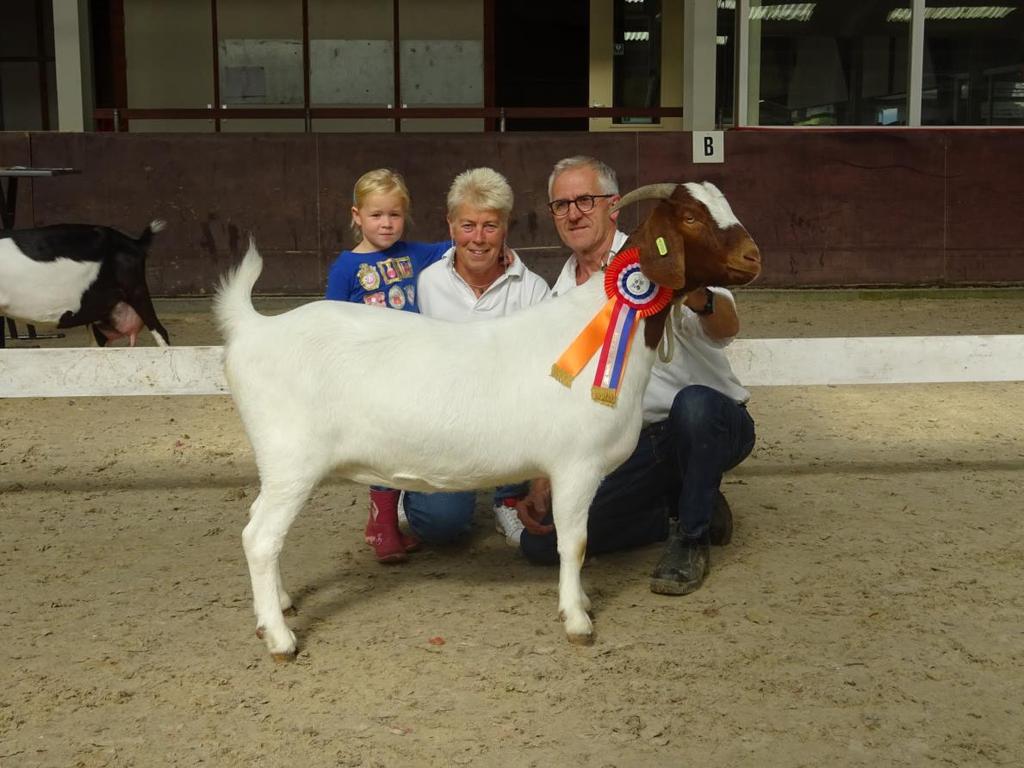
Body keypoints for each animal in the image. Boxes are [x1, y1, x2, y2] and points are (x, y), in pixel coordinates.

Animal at [216, 182, 761, 663]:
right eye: (689, 217)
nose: (753, 257)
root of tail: (254, 328)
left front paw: (580, 604)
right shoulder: (577, 465)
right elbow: (575, 542)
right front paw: (577, 620)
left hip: (281, 466)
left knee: (257, 529)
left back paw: (278, 608)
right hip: (292, 461)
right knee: (260, 537)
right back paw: (280, 639)